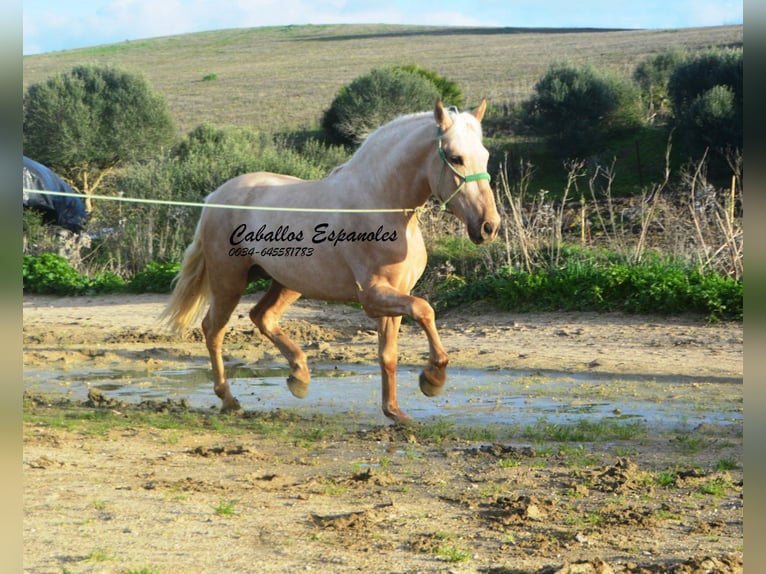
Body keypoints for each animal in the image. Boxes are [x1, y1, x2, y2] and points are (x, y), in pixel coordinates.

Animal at [161, 98, 500, 423]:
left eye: (484, 156)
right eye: (456, 158)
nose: (489, 227)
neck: (379, 205)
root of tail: (213, 198)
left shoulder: (394, 296)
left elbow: (388, 354)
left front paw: (395, 412)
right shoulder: (373, 296)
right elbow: (425, 310)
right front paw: (432, 379)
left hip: (287, 283)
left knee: (262, 317)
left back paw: (299, 377)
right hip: (229, 281)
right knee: (213, 329)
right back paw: (230, 400)